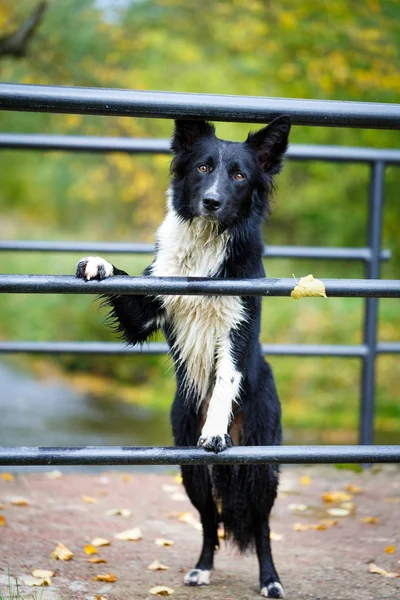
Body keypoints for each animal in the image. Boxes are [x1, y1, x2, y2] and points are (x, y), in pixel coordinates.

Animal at [76, 116, 290, 596]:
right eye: (203, 167)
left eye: (239, 176)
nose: (211, 202)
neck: (206, 245)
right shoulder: (148, 310)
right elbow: (127, 284)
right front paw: (99, 263)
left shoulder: (237, 326)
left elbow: (226, 376)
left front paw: (215, 430)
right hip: (189, 469)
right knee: (210, 520)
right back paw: (201, 568)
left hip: (260, 465)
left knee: (262, 525)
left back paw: (270, 579)